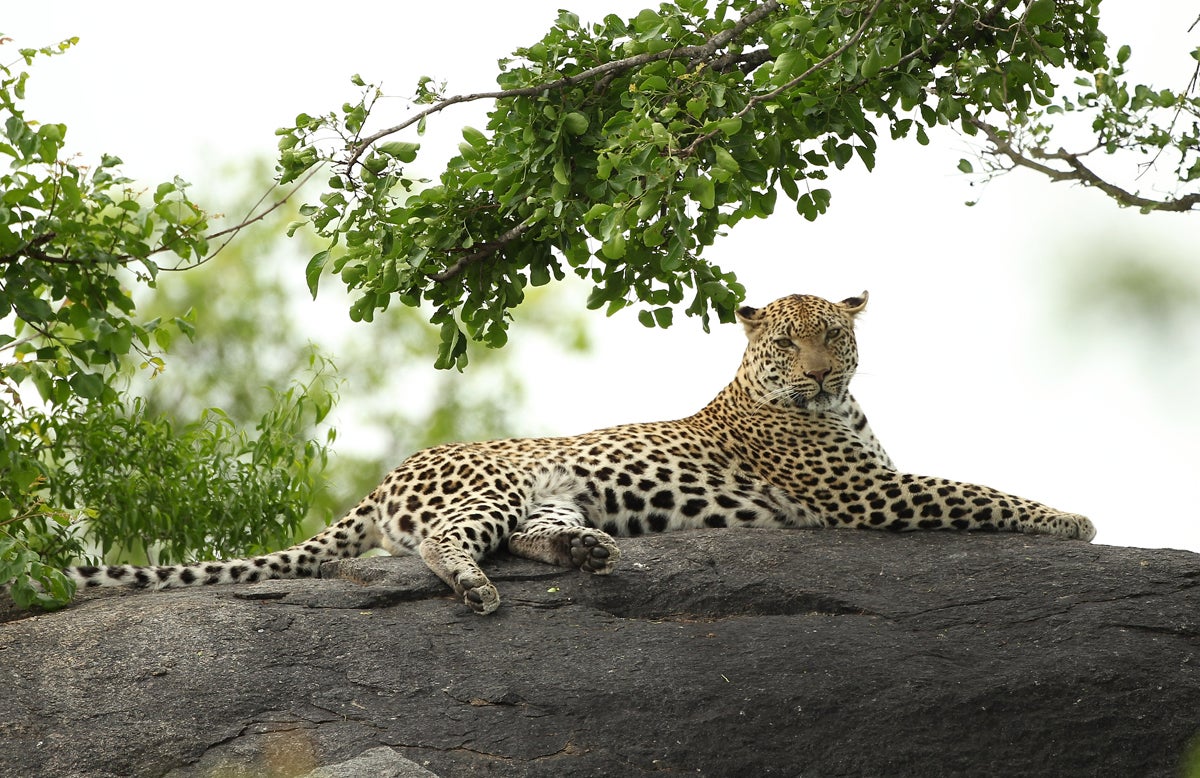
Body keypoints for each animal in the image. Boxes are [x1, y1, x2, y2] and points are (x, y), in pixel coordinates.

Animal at [65, 291, 1095, 614]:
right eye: (785, 343)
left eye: (834, 340)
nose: (814, 376)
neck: (838, 408)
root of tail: (392, 471)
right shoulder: (865, 496)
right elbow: (976, 489)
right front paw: (1071, 518)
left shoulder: (873, 482)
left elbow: (968, 483)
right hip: (486, 489)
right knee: (443, 545)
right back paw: (476, 589)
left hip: (553, 494)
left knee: (532, 537)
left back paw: (590, 552)